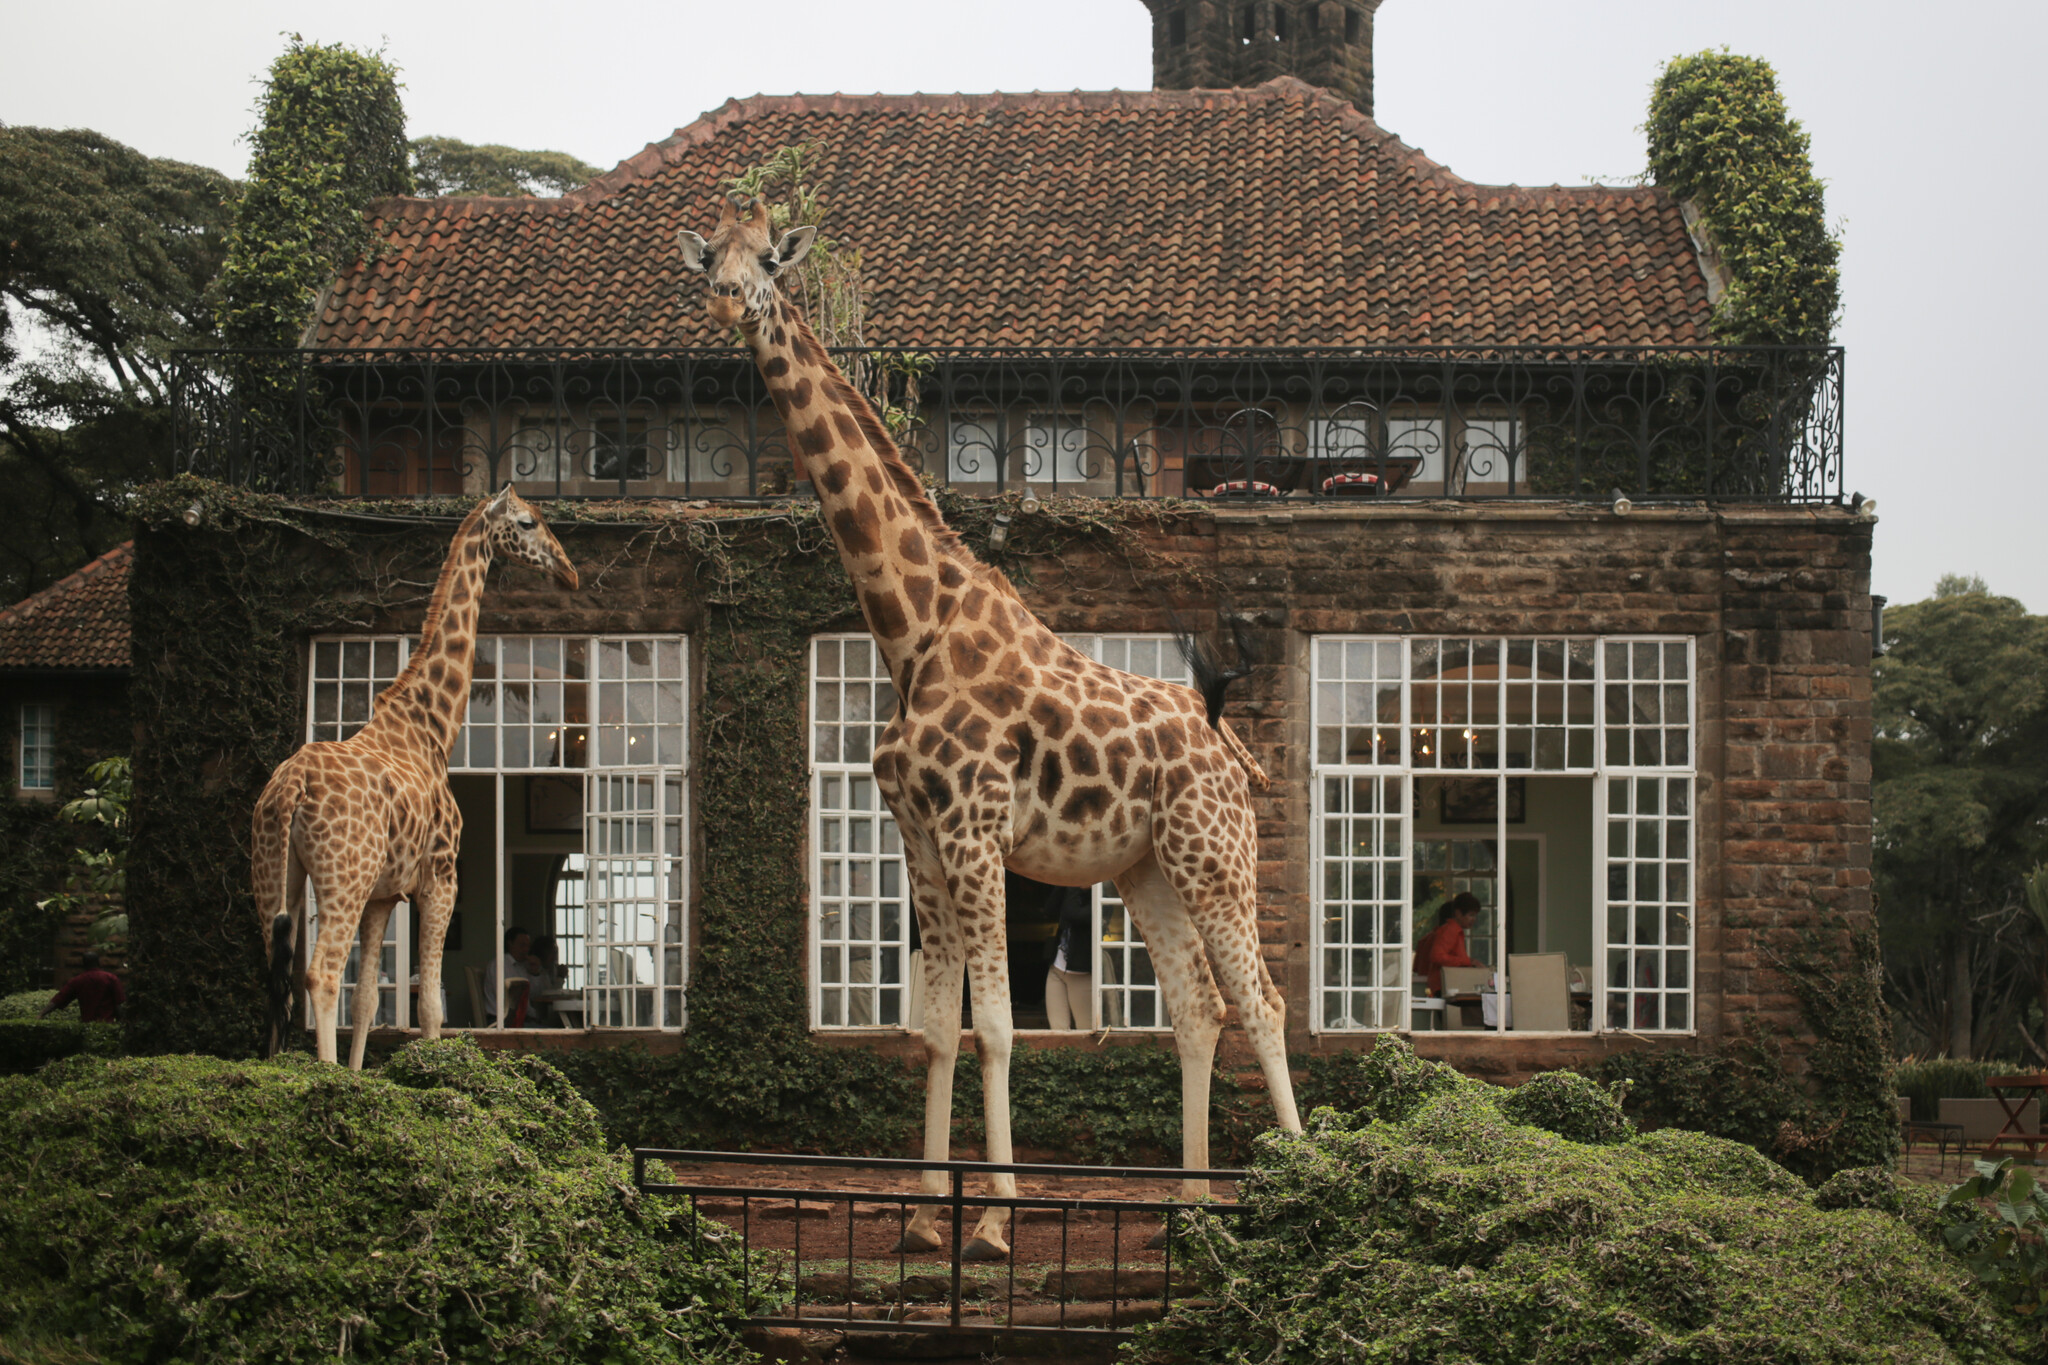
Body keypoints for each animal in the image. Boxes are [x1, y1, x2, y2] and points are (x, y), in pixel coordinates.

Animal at [254, 487, 579, 1067]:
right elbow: (429, 1007)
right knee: (321, 975)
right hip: (343, 877)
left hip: (274, 880)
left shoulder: (385, 894)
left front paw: (364, 1076)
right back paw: (324, 1077)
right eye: (528, 522)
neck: (430, 727)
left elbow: (366, 1002)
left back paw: (283, 1072)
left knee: (279, 983)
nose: (570, 573)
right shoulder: (440, 876)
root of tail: (291, 788)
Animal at [679, 196, 1302, 1259]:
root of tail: (1230, 741)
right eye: (709, 257)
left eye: (768, 260)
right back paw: (1187, 1205)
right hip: (1146, 865)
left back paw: (1311, 1186)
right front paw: (927, 1216)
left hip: (1214, 852)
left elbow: (997, 1025)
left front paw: (997, 1218)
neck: (911, 631)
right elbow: (934, 1027)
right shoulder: (919, 839)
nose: (725, 300)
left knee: (1262, 999)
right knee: (1197, 1005)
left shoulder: (974, 832)